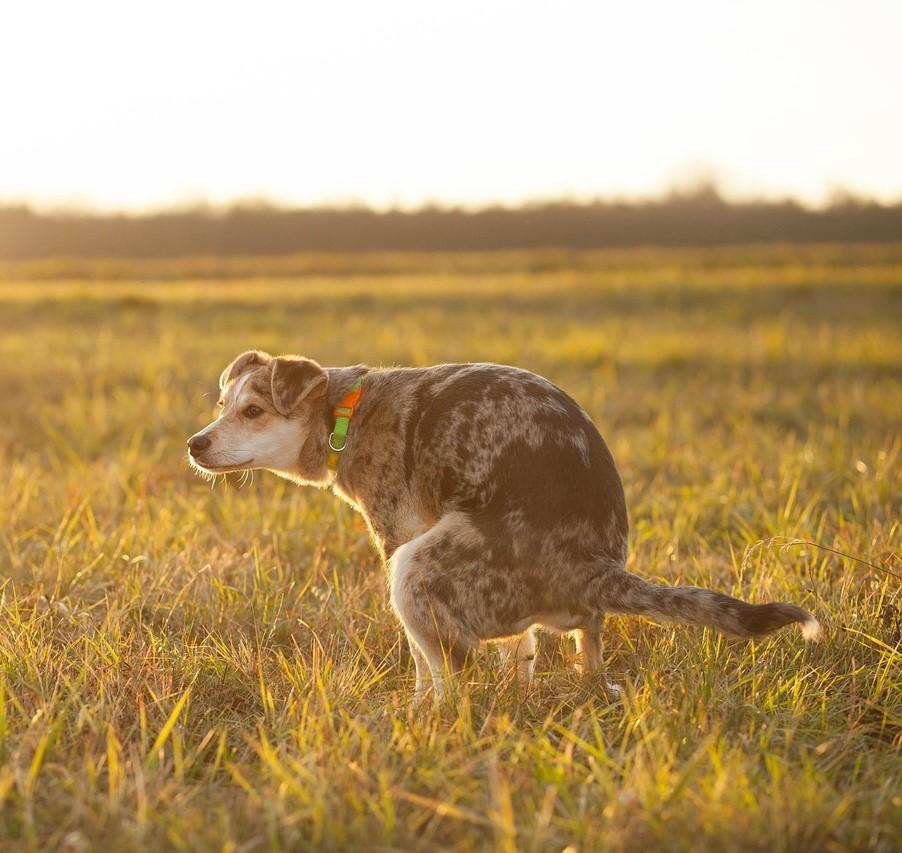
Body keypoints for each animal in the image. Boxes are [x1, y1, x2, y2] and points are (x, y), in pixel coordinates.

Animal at [187, 350, 824, 696]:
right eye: (221, 406)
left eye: (253, 410)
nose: (194, 444)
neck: (347, 411)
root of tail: (594, 568)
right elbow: (520, 653)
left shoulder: (398, 536)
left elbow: (422, 664)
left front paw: (415, 709)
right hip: (564, 620)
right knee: (581, 653)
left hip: (416, 567)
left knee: (452, 678)